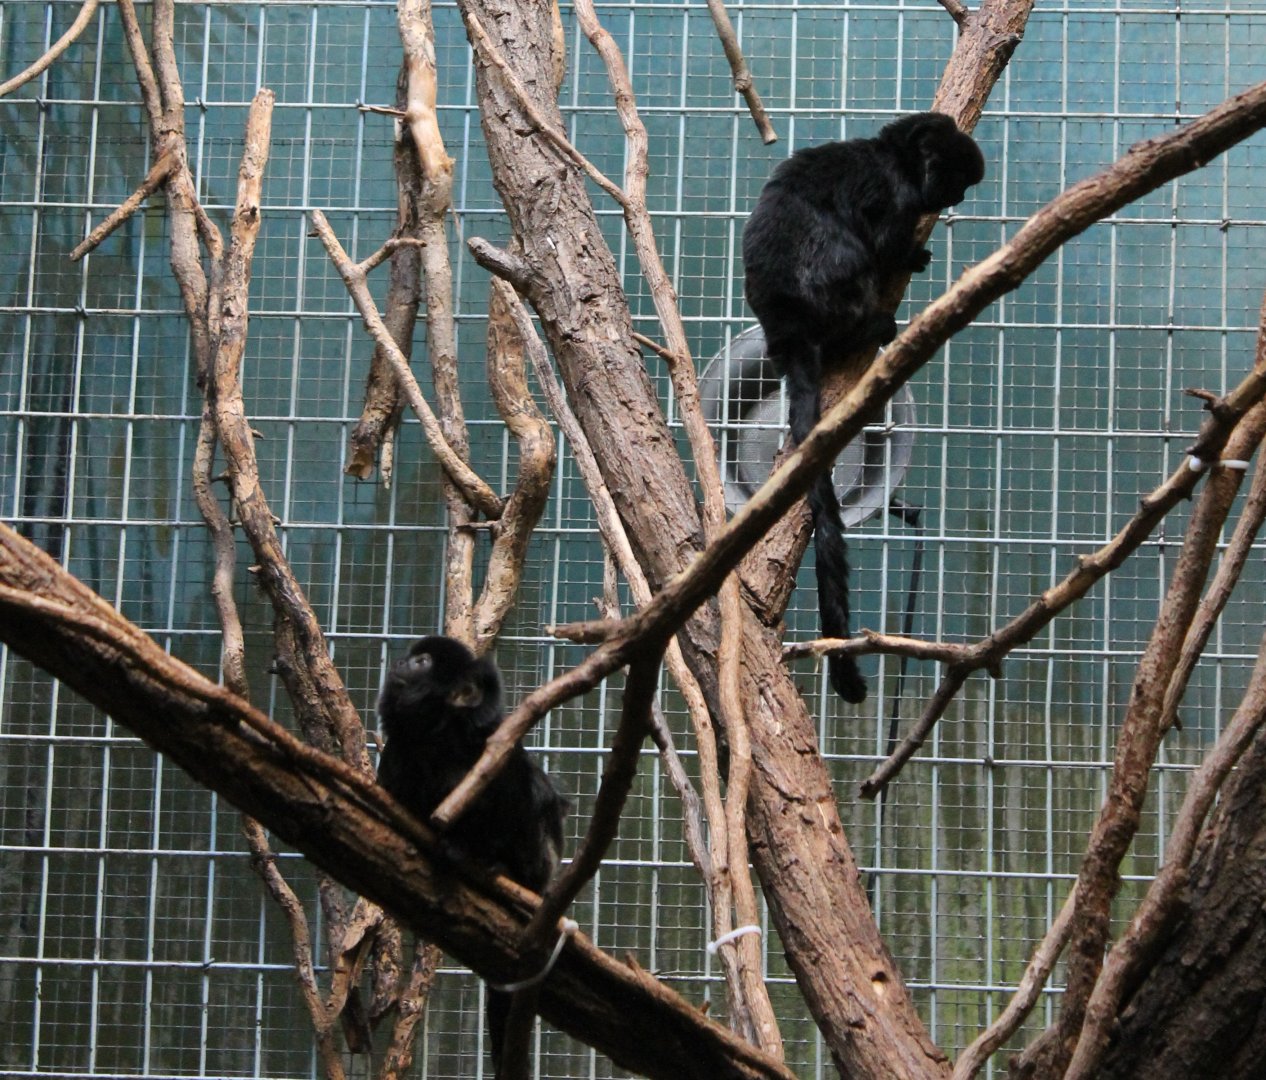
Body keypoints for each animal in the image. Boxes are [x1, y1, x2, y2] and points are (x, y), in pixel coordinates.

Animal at [376, 635, 568, 1071]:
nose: (400, 662)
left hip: (539, 864)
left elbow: (521, 787)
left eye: (423, 662)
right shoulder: (394, 756)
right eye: (412, 657)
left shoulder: (492, 749)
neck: (437, 743)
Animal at [742, 111, 985, 705]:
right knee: (851, 255)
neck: (890, 155)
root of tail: (789, 329)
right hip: (834, 293)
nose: (958, 197)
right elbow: (883, 242)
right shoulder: (895, 196)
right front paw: (912, 255)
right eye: (954, 180)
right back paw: (873, 325)